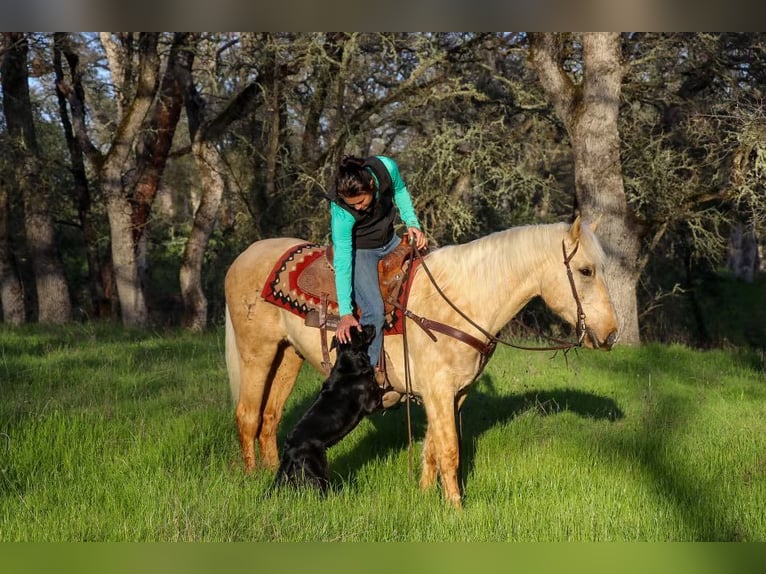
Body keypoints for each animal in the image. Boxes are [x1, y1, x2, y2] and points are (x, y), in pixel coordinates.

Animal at [274, 326, 384, 492]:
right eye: (361, 330)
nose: (372, 325)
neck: (350, 364)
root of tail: (289, 448)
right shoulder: (370, 402)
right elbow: (381, 390)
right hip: (317, 466)